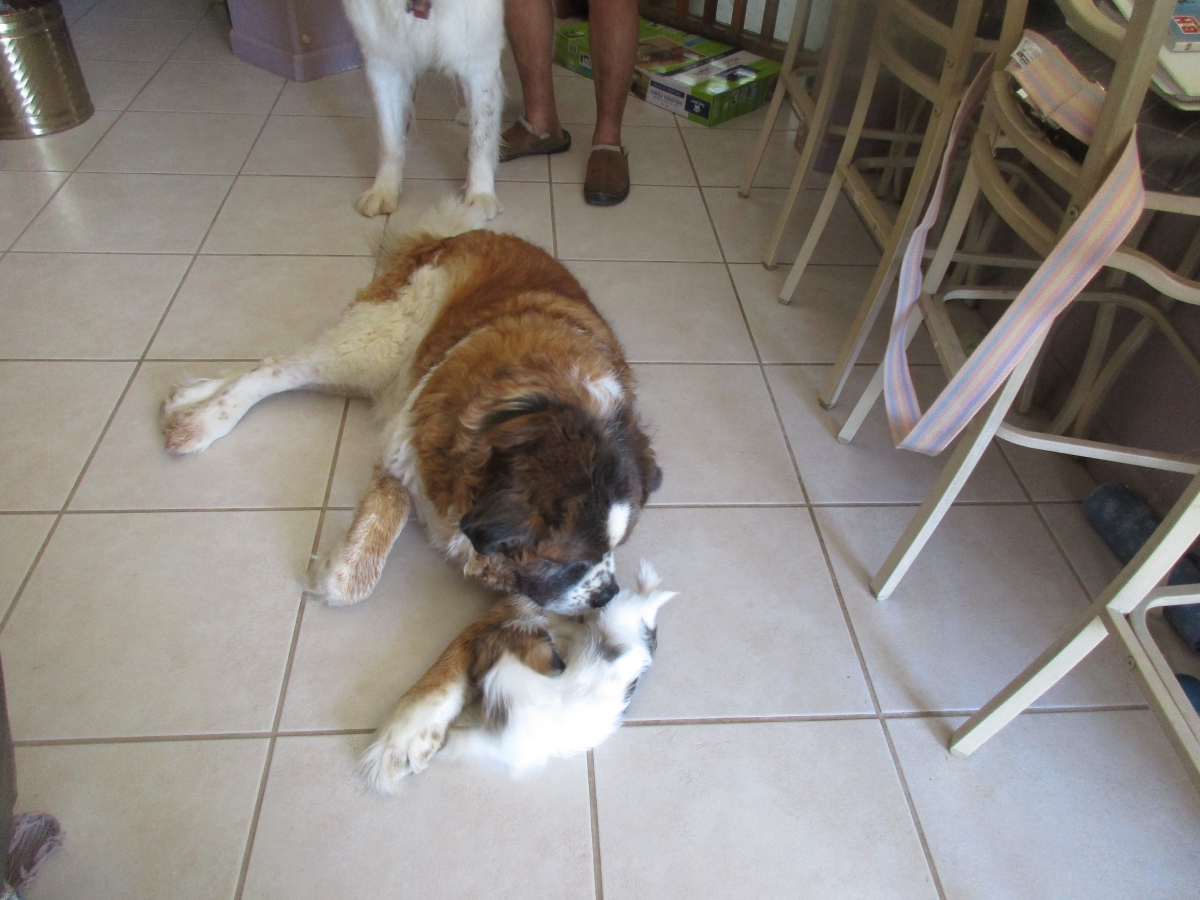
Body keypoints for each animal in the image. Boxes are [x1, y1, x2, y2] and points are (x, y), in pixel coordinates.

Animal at [342, 0, 505, 218]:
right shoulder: (384, 61)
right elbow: (389, 141)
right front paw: (384, 190)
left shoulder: (479, 57)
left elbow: (481, 140)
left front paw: (480, 195)